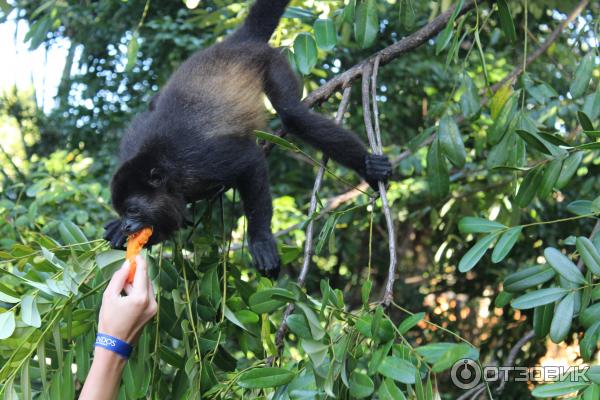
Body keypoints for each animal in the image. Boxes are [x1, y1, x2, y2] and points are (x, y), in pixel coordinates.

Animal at [104, 0, 394, 278]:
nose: (127, 225)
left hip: (270, 61)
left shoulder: (201, 160)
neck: (163, 166)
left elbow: (250, 162)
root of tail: (236, 42)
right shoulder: (133, 145)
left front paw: (261, 239)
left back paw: (369, 166)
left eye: (133, 210)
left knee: (294, 116)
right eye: (121, 211)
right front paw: (117, 229)